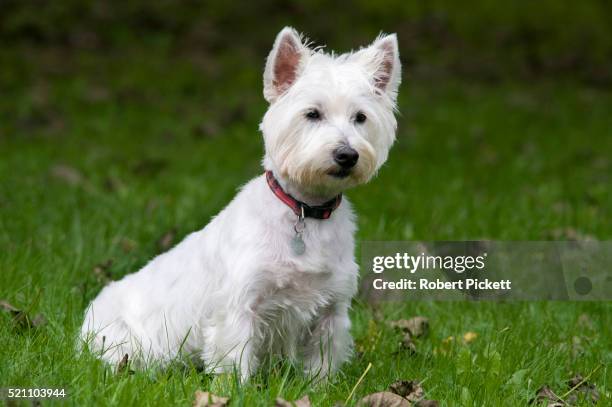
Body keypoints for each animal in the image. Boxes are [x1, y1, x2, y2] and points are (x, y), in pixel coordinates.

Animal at [81, 27, 402, 380]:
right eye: (312, 114)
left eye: (360, 117)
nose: (347, 155)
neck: (306, 210)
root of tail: (86, 320)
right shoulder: (240, 305)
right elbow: (235, 358)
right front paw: (235, 386)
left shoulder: (332, 308)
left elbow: (323, 361)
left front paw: (320, 386)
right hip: (124, 340)